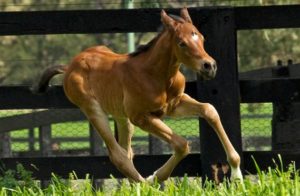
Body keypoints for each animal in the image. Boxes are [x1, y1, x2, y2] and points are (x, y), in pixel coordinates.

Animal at [34, 7, 243, 182]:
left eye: (201, 37)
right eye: (182, 43)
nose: (209, 66)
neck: (156, 75)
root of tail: (71, 65)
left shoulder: (174, 105)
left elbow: (209, 110)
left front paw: (236, 173)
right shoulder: (140, 117)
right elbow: (181, 144)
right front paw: (155, 177)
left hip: (121, 116)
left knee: (126, 152)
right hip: (93, 110)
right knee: (118, 155)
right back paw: (144, 184)